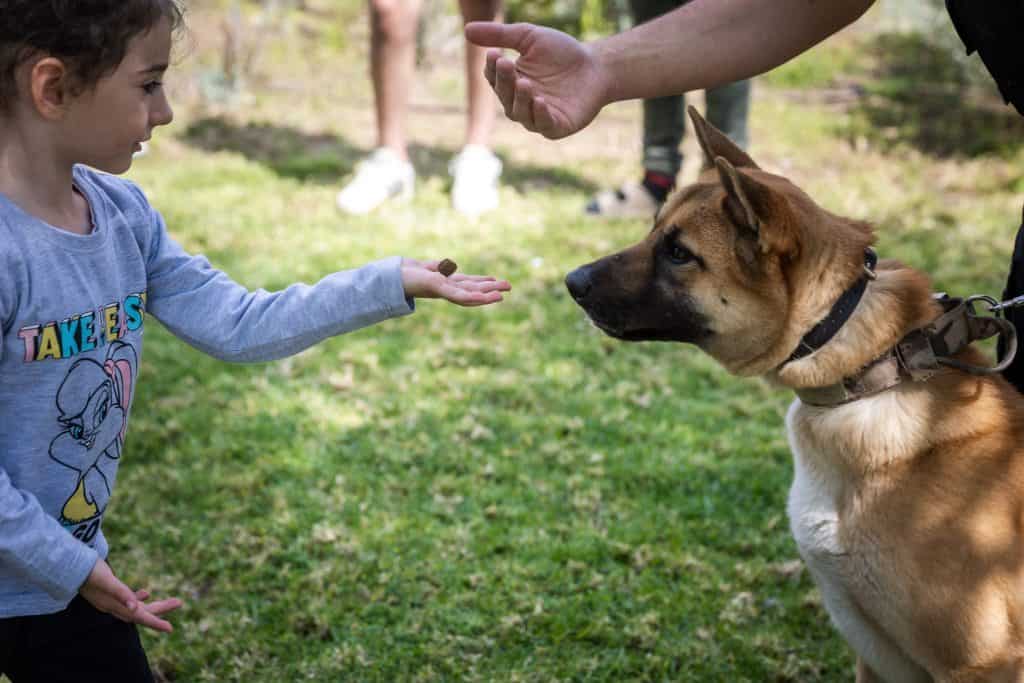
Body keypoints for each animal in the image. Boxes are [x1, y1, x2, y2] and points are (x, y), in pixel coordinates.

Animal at [569, 108, 1024, 683]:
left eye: (678, 253)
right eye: (654, 231)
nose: (571, 281)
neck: (870, 375)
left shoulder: (982, 662)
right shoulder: (873, 658)